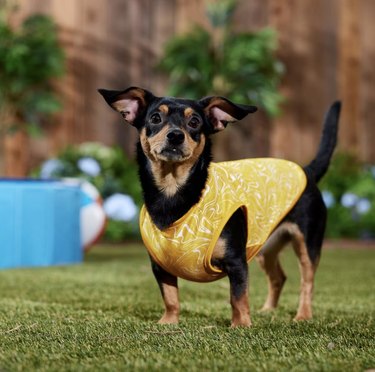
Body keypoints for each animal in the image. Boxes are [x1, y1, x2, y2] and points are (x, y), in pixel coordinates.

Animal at [98, 86, 342, 326]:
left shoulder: (237, 262)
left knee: (307, 283)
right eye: (155, 118)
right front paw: (168, 323)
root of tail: (306, 171)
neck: (173, 192)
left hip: (307, 244)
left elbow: (238, 297)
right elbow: (170, 297)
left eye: (194, 122)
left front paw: (241, 325)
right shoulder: (161, 266)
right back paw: (267, 310)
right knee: (279, 277)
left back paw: (303, 315)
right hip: (266, 246)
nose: (175, 135)